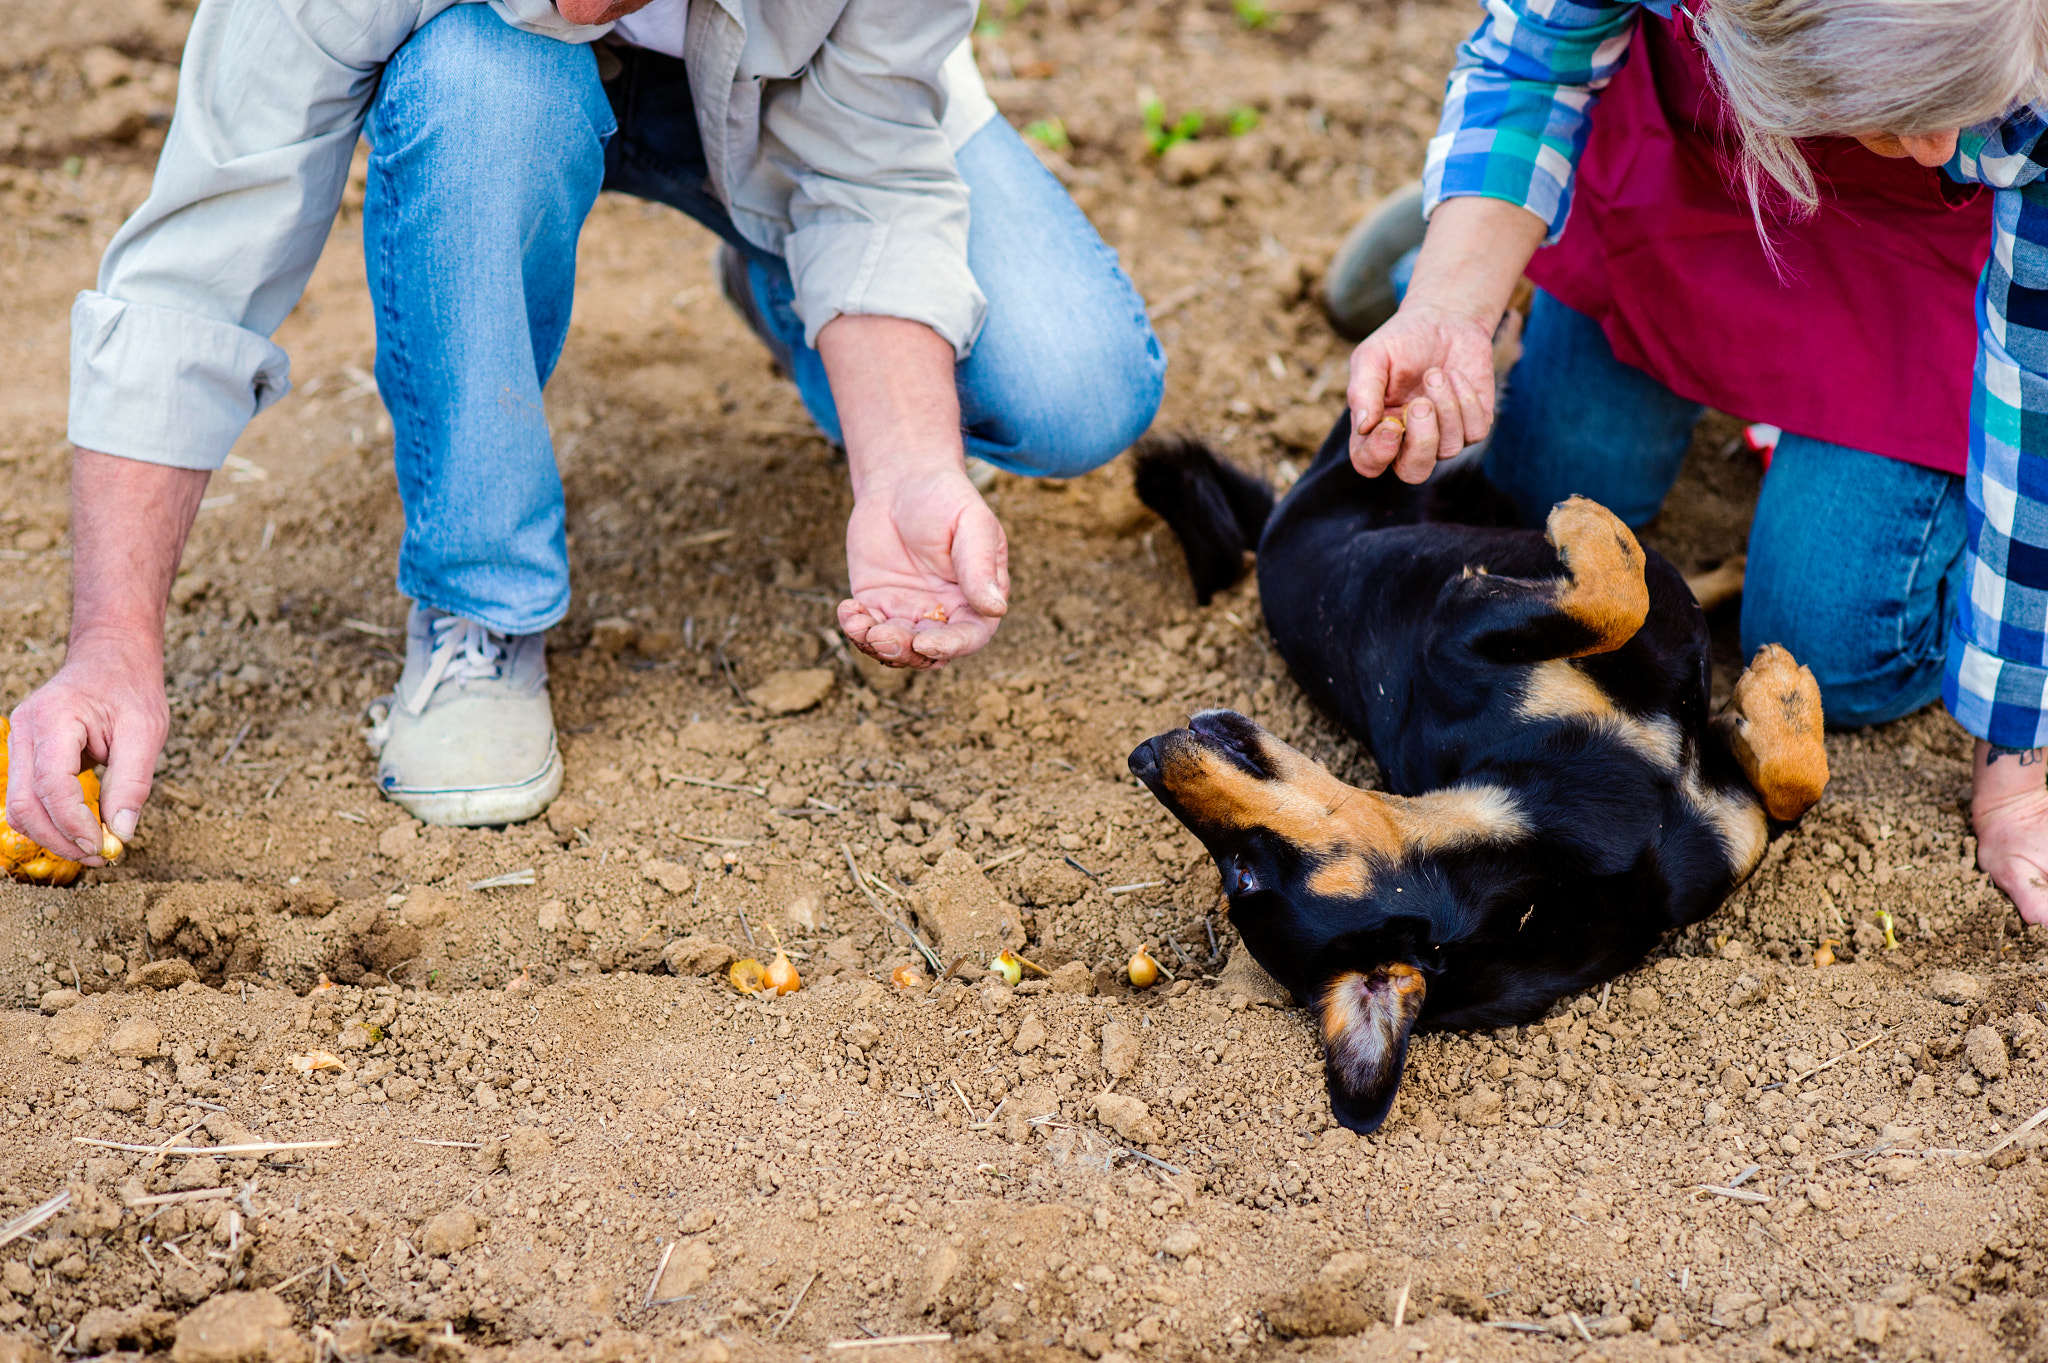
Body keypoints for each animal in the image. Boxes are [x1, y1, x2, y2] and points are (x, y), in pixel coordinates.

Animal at [1130, 419, 1835, 1129]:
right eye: (1240, 875)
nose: (1143, 757)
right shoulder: (1455, 619)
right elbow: (1615, 599)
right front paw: (1588, 523)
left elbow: (1794, 786)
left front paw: (1778, 702)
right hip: (1367, 471)